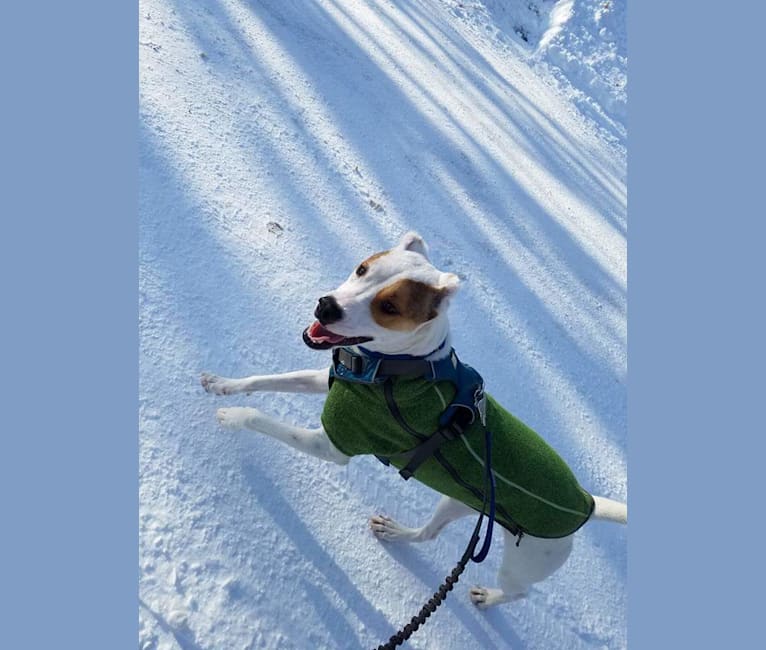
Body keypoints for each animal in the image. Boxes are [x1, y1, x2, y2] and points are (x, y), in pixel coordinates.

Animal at [201, 232, 628, 608]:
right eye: (362, 269)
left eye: (390, 308)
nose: (326, 306)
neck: (394, 370)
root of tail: (586, 503)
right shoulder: (329, 380)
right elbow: (267, 379)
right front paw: (222, 385)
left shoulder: (334, 445)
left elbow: (261, 417)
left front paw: (232, 416)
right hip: (457, 503)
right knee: (428, 535)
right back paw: (395, 532)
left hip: (524, 561)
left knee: (518, 591)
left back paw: (487, 599)